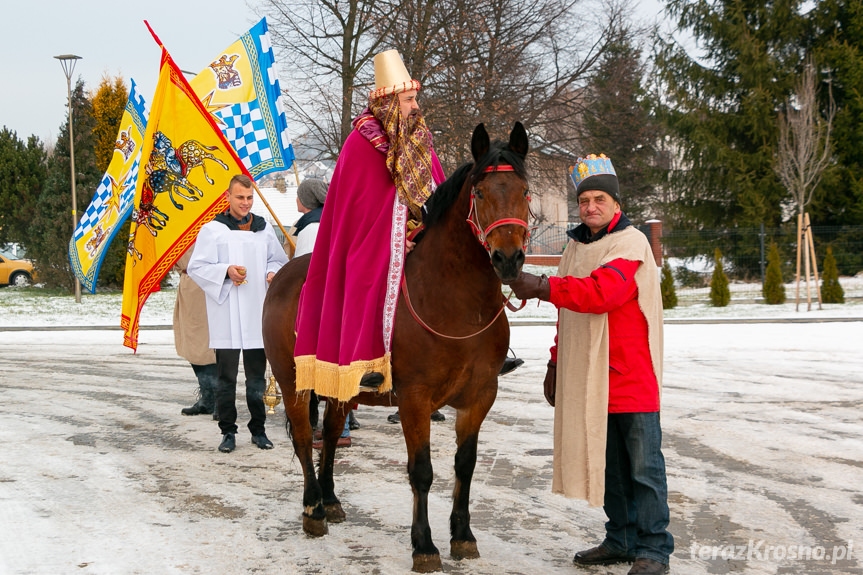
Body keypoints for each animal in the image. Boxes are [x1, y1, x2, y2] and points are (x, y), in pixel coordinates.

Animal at [264, 121, 532, 572]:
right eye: (479, 193)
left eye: (525, 191)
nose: (508, 259)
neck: (457, 303)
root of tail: (283, 276)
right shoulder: (415, 398)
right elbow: (421, 470)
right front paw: (424, 545)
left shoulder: (480, 394)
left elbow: (466, 464)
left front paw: (463, 535)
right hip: (292, 382)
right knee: (303, 438)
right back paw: (313, 508)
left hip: (341, 387)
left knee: (331, 434)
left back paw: (331, 499)